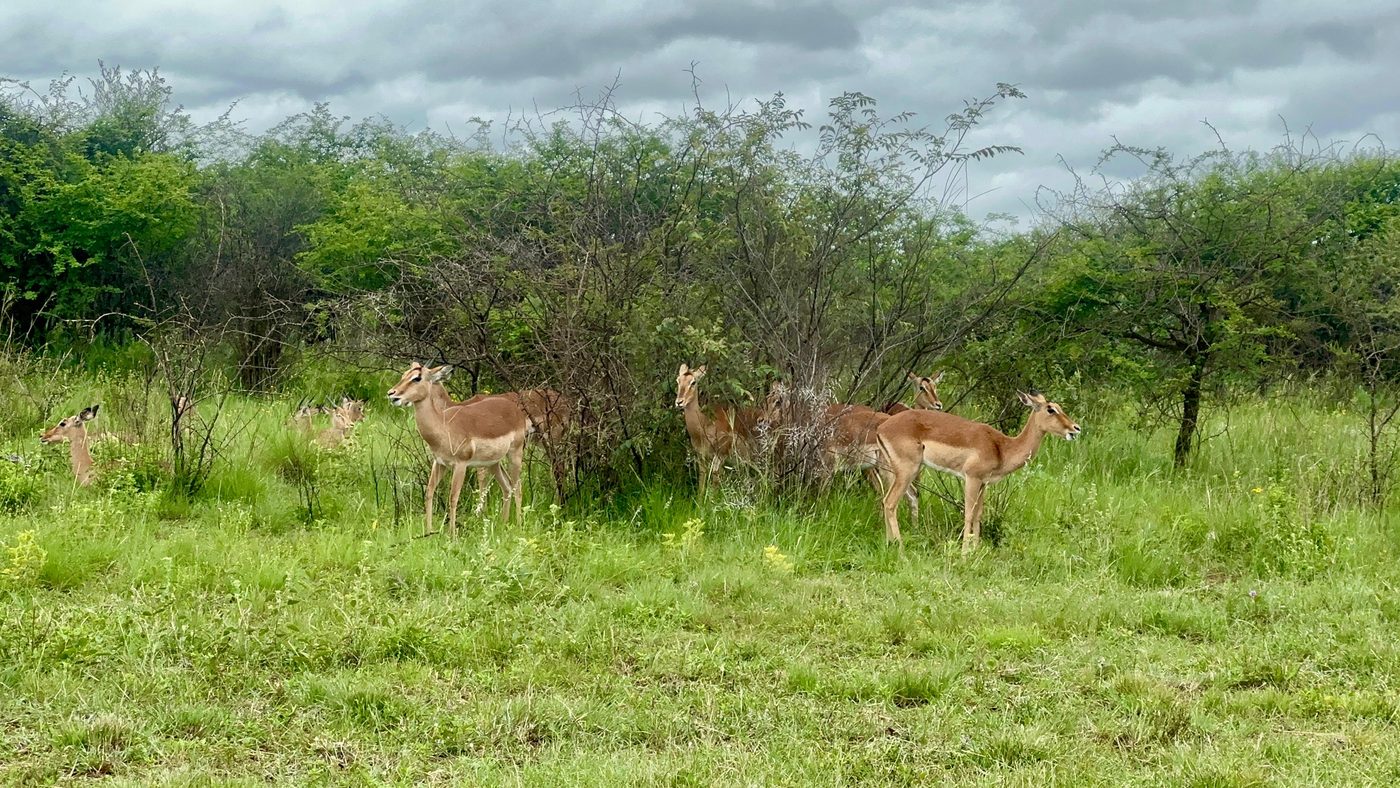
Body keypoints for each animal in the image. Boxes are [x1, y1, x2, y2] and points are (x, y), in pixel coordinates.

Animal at [387, 363, 527, 536]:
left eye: (417, 378)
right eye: (404, 374)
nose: (392, 394)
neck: (444, 425)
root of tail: (515, 409)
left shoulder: (460, 464)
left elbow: (453, 497)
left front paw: (452, 535)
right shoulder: (439, 463)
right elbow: (429, 492)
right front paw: (429, 531)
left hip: (515, 454)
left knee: (517, 487)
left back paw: (519, 527)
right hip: (493, 462)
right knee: (507, 486)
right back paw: (503, 523)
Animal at [675, 364, 762, 496]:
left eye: (693, 382)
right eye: (678, 380)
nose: (679, 402)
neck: (703, 425)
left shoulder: (721, 453)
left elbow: (715, 476)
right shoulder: (701, 456)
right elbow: (702, 477)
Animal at [876, 392, 1080, 551]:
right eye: (1050, 409)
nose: (1075, 428)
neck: (1002, 447)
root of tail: (881, 428)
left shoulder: (983, 483)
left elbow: (978, 515)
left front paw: (976, 550)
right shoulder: (971, 478)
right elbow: (968, 514)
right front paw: (965, 554)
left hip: (895, 471)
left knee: (885, 501)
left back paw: (889, 544)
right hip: (907, 470)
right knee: (890, 502)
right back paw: (900, 549)